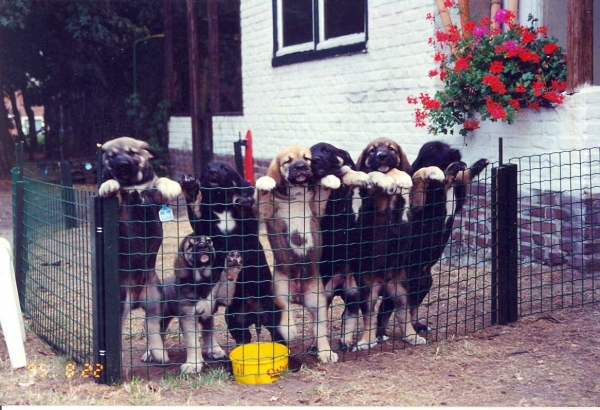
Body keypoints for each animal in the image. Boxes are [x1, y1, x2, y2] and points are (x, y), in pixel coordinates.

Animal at [98, 137, 180, 362]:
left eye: (132, 152)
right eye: (111, 156)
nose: (122, 165)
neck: (134, 186)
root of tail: (136, 300)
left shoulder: (157, 199)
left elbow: (161, 180)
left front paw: (171, 185)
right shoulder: (119, 207)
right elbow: (115, 188)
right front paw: (109, 184)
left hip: (155, 299)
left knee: (153, 327)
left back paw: (158, 353)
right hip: (120, 304)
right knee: (123, 331)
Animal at [163, 234, 243, 374]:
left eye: (208, 241)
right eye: (190, 245)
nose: (202, 246)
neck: (201, 280)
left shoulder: (221, 297)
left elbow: (227, 281)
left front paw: (232, 264)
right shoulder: (188, 316)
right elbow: (192, 342)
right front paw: (192, 364)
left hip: (207, 316)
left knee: (208, 333)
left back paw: (214, 349)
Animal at [178, 162, 284, 344]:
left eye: (225, 168)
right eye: (207, 168)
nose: (213, 171)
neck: (222, 205)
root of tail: (255, 314)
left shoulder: (248, 232)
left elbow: (246, 216)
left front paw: (243, 204)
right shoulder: (205, 229)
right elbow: (195, 211)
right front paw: (191, 189)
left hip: (274, 315)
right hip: (233, 318)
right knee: (244, 337)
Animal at [254, 145, 342, 362]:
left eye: (306, 158)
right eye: (288, 161)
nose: (302, 167)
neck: (295, 193)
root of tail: (298, 296)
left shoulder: (316, 207)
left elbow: (322, 193)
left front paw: (329, 179)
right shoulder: (266, 212)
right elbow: (263, 197)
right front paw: (264, 181)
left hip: (317, 301)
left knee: (319, 329)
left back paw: (326, 352)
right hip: (280, 288)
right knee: (285, 308)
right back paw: (289, 328)